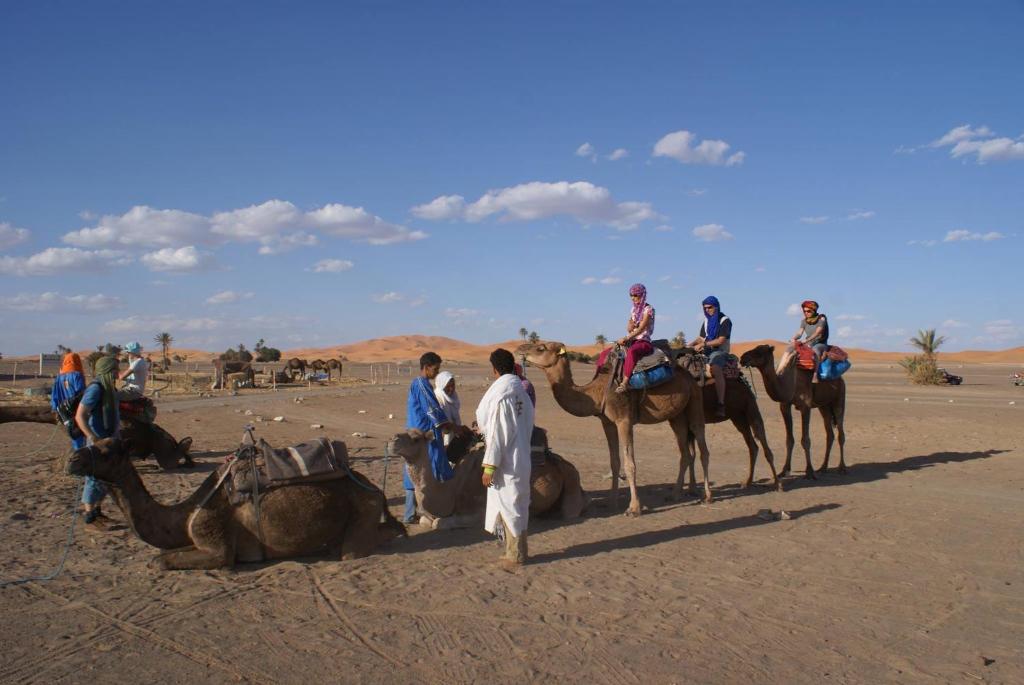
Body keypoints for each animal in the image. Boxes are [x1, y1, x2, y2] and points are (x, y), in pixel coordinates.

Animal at [65, 436, 403, 569]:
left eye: (107, 451)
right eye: (93, 442)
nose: (72, 459)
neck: (185, 515)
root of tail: (375, 488)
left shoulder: (218, 545)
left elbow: (160, 561)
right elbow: (162, 555)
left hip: (362, 509)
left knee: (361, 546)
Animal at [387, 423, 589, 528]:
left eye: (416, 438)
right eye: (405, 430)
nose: (392, 440)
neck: (451, 490)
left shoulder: (479, 510)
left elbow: (438, 524)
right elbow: (425, 520)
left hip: (571, 480)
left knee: (570, 511)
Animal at [516, 339, 708, 516]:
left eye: (541, 348)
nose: (520, 349)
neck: (597, 392)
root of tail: (689, 376)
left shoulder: (624, 420)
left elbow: (630, 464)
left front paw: (634, 508)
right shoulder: (607, 422)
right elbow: (614, 462)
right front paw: (612, 502)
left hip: (695, 400)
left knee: (701, 444)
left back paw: (707, 496)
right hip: (676, 416)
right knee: (684, 452)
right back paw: (675, 494)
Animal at [737, 344, 847, 479]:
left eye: (760, 352)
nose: (743, 357)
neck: (790, 382)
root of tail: (840, 378)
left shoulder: (806, 406)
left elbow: (805, 440)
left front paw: (809, 471)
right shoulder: (785, 406)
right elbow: (789, 440)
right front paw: (784, 470)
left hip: (839, 397)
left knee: (841, 432)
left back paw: (842, 468)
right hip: (824, 406)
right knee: (830, 434)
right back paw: (823, 467)